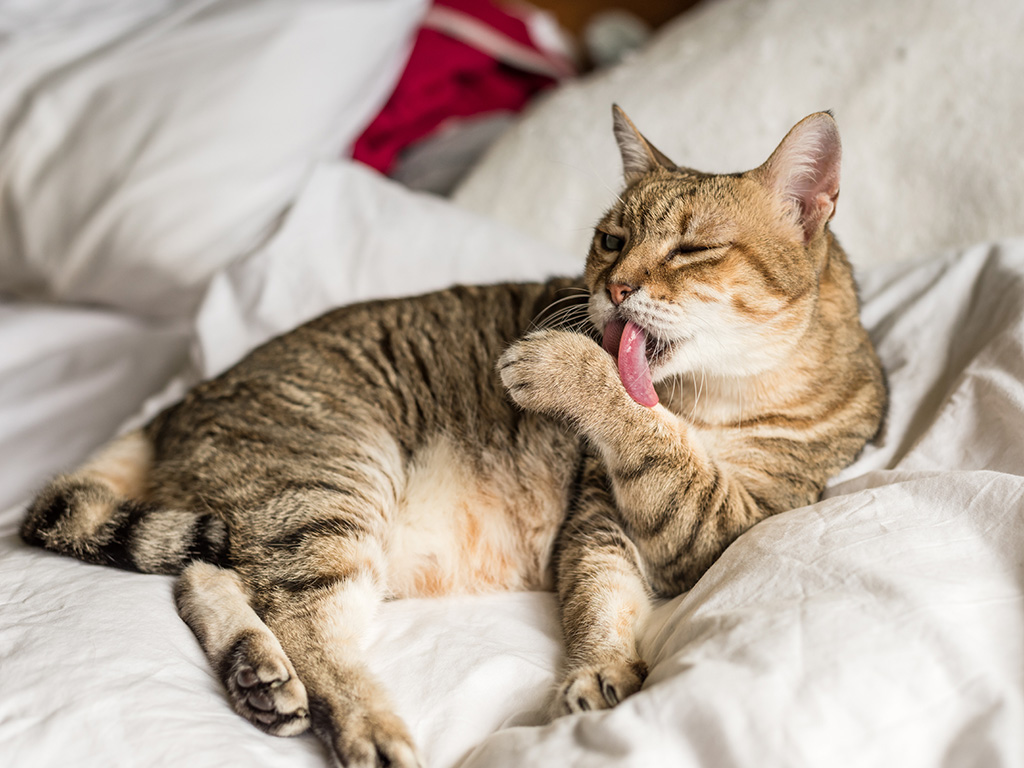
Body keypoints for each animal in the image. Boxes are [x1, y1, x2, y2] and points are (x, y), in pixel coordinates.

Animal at [19, 108, 884, 768]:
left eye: (692, 248)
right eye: (610, 239)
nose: (613, 287)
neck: (714, 397)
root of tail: (182, 402)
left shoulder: (723, 524)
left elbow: (650, 470)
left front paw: (567, 366)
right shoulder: (602, 518)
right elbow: (599, 594)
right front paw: (600, 667)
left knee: (212, 578)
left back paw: (256, 673)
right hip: (331, 482)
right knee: (297, 622)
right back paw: (364, 722)